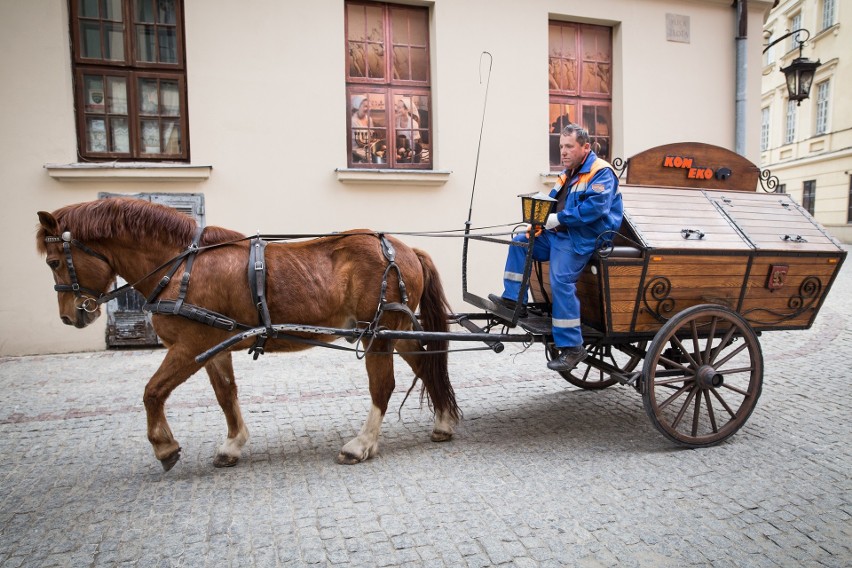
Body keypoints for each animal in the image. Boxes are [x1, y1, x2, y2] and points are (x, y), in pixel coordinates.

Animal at [38, 199, 460, 470]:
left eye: (54, 261)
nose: (69, 316)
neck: (183, 267)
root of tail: (405, 248)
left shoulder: (189, 346)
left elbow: (152, 392)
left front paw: (164, 446)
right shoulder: (214, 347)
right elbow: (226, 395)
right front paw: (232, 444)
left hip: (378, 333)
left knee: (383, 386)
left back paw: (361, 445)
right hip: (395, 330)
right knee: (425, 364)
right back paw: (442, 422)